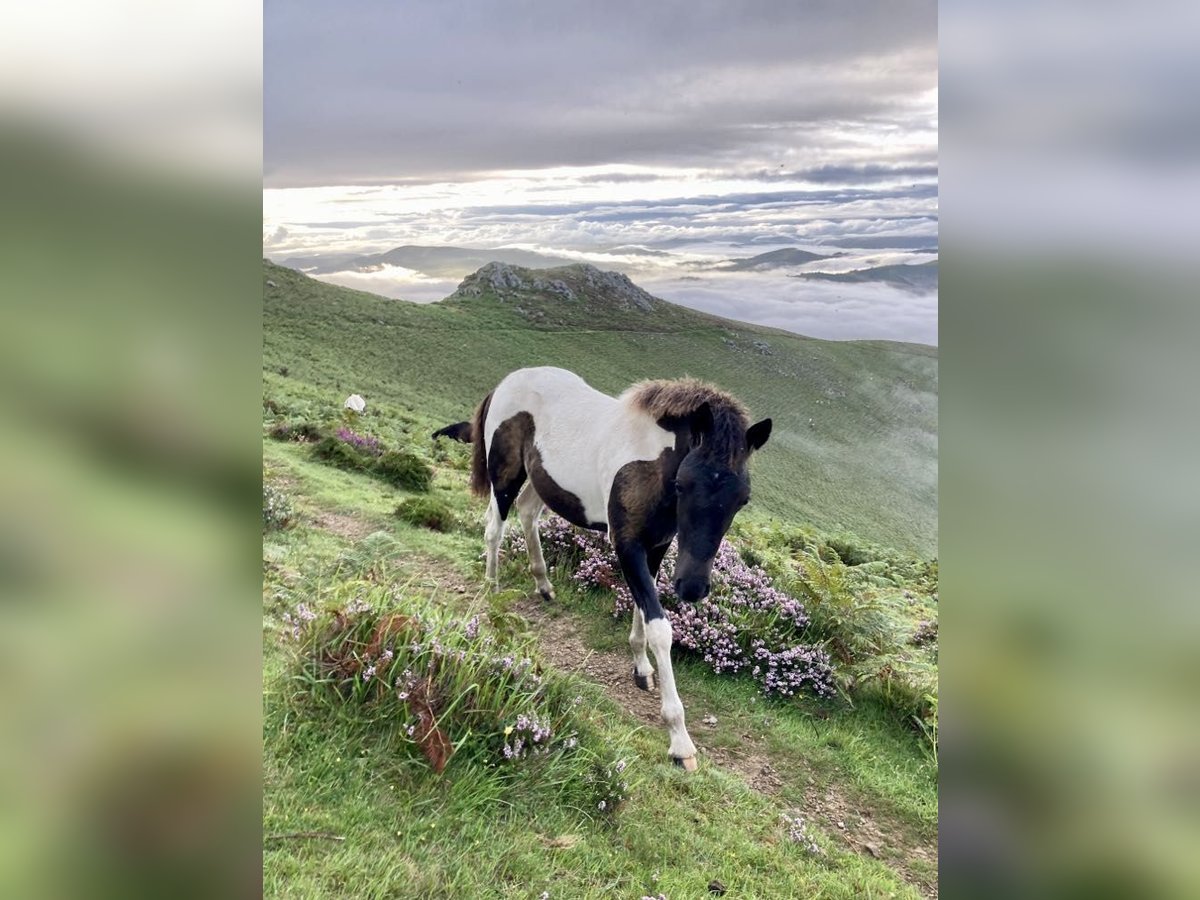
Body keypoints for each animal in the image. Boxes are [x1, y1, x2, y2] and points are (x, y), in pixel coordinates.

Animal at [436, 364, 772, 768]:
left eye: (742, 499)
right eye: (684, 485)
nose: (692, 587)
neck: (654, 462)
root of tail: (508, 380)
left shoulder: (656, 545)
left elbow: (643, 608)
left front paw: (641, 668)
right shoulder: (627, 545)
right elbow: (660, 627)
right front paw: (679, 740)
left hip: (541, 480)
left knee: (528, 513)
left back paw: (543, 585)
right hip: (505, 475)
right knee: (494, 527)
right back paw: (492, 587)